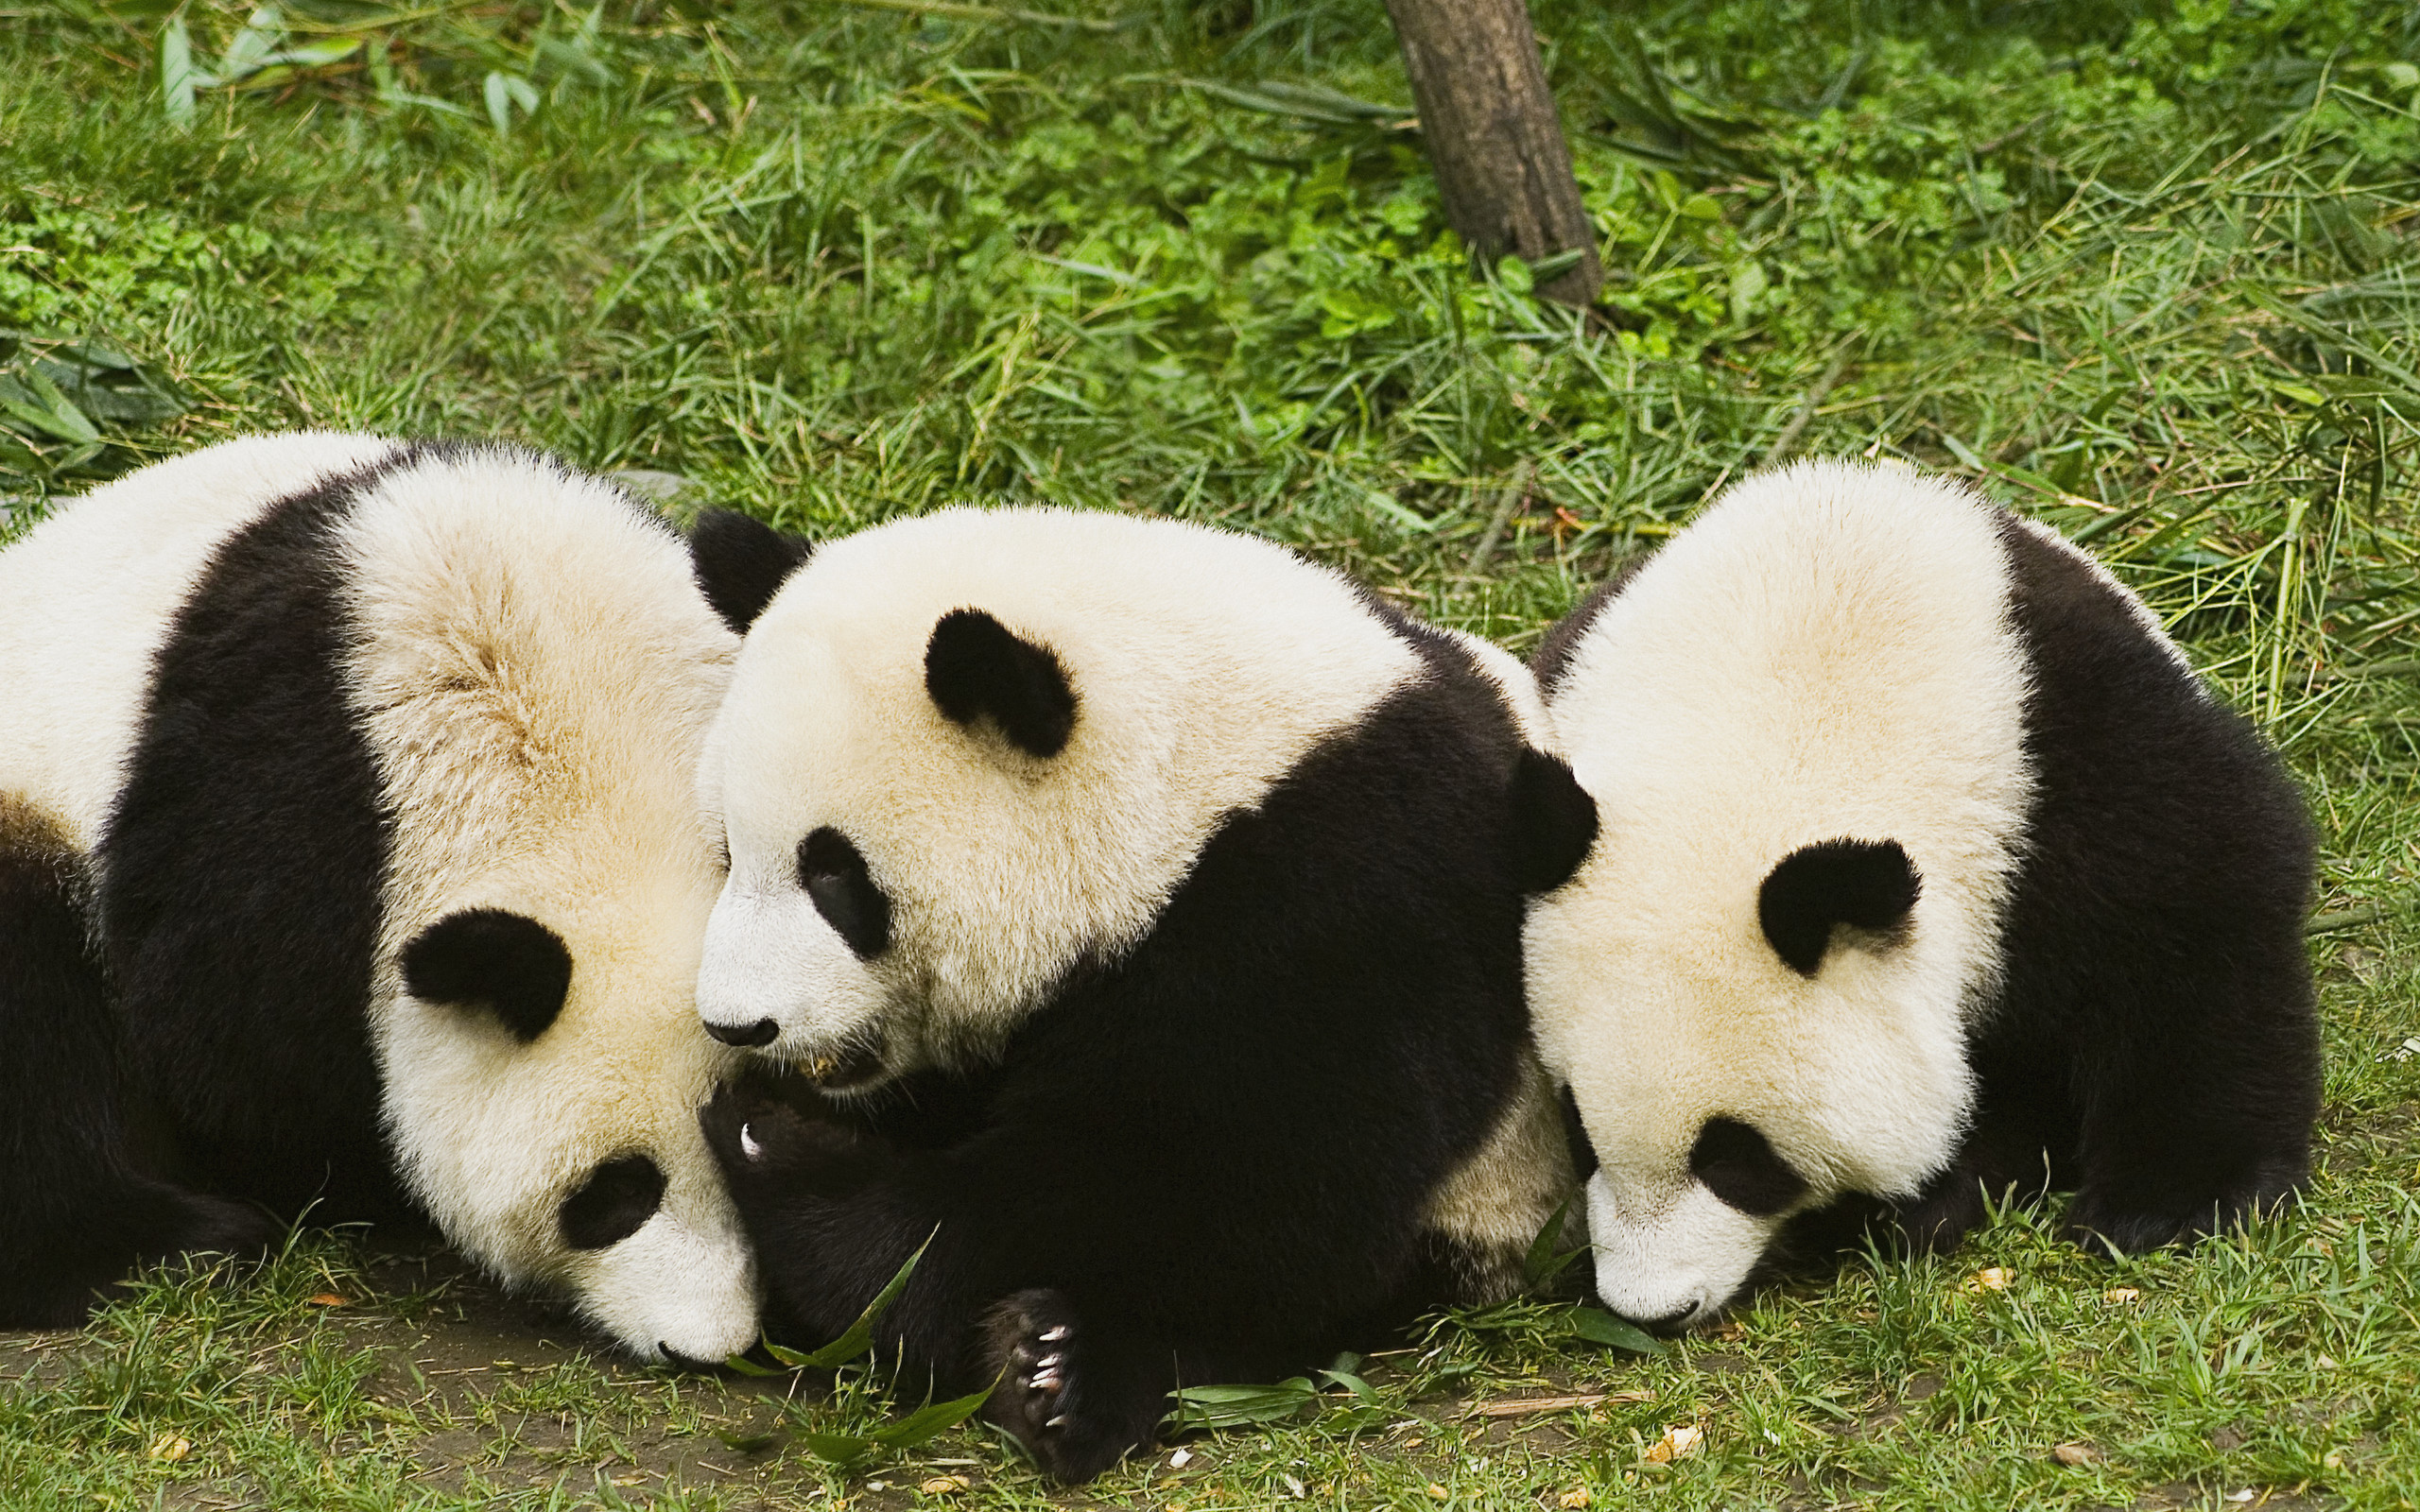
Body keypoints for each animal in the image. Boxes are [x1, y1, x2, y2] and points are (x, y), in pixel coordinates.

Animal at [684, 505, 1586, 1483]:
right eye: (730, 851)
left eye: (835, 878)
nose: (737, 1025)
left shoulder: (1339, 894)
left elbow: (1228, 1184)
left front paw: (776, 1150)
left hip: (1498, 1189)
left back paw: (1062, 1373)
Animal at [1520, 458, 2320, 1333]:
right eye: (1579, 1131)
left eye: (1736, 1156)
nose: (1652, 1308)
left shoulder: (2069, 771)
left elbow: (2193, 933)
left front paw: (2167, 1206)